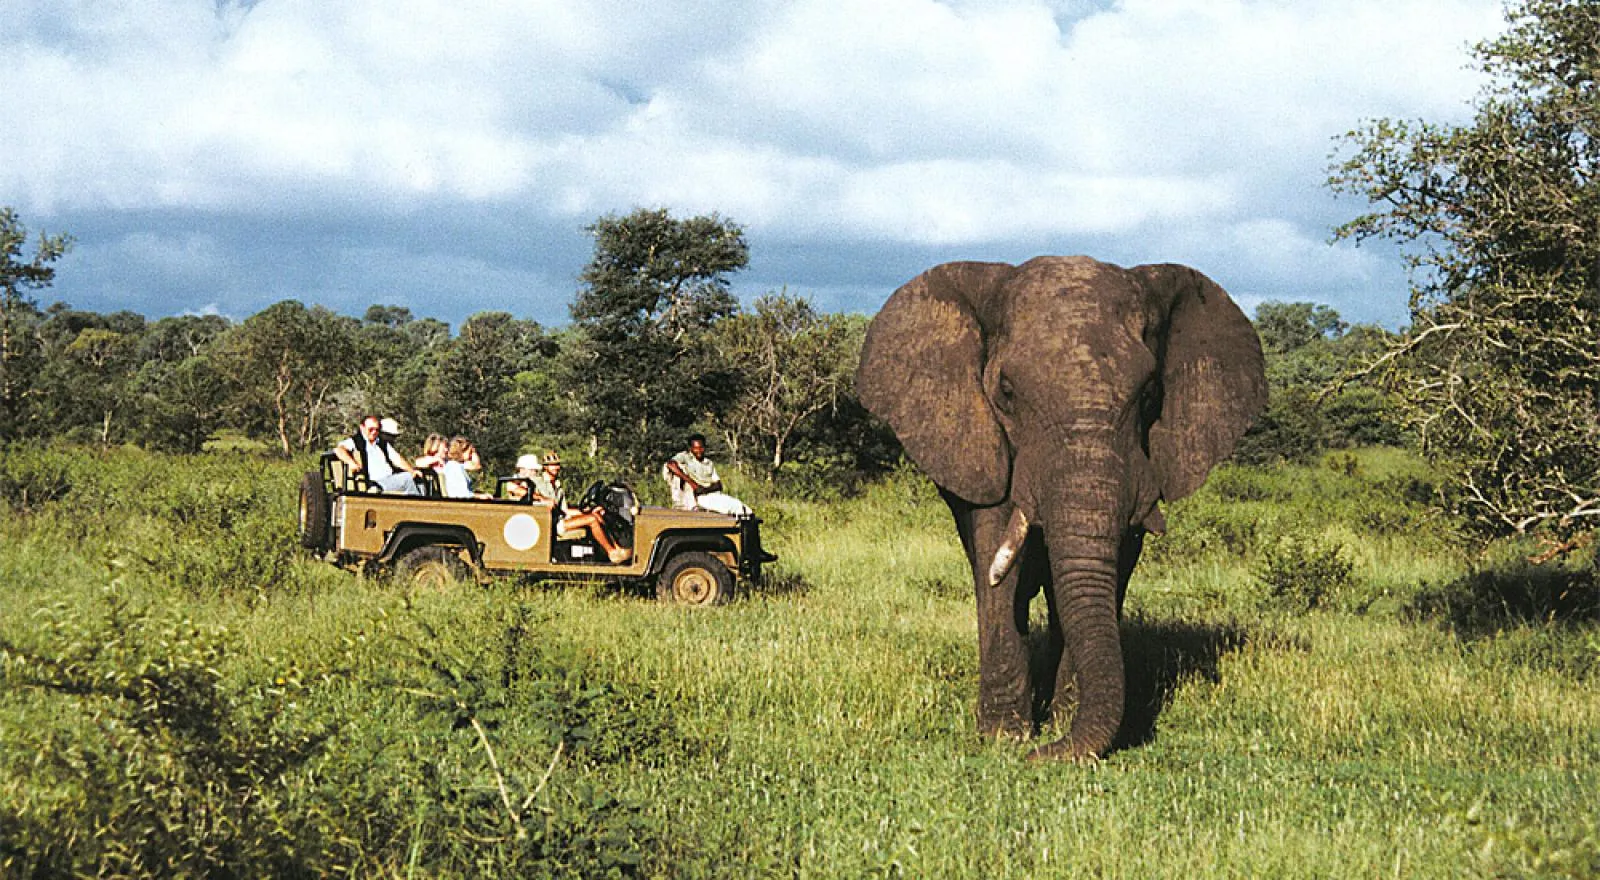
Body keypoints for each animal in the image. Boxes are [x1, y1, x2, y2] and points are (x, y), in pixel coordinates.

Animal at [856, 255, 1266, 761]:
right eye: (1006, 392)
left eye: (1151, 393)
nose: (1039, 755)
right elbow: (996, 550)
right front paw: (1005, 736)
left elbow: (1114, 563)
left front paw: (1057, 724)